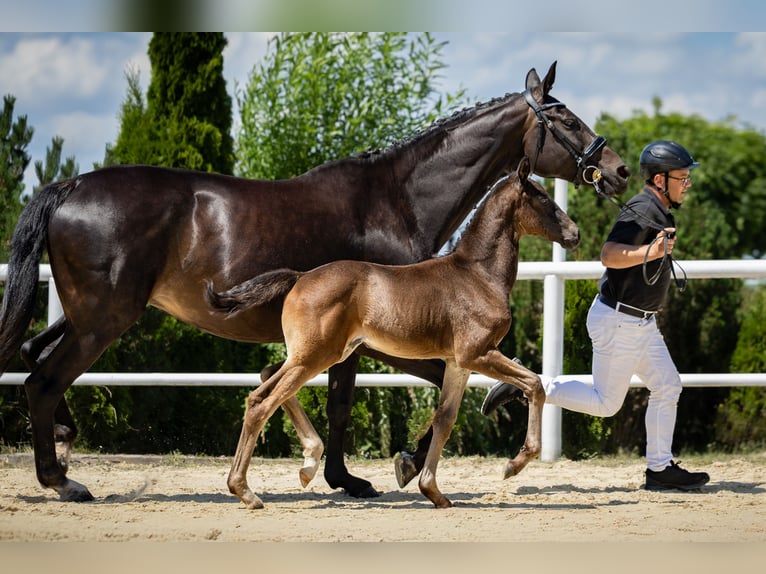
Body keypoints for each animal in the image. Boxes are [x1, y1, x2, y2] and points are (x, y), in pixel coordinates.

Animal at [206, 156, 579, 509]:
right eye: (542, 197)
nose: (574, 233)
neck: (478, 275)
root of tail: (300, 277)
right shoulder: (479, 353)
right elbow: (533, 383)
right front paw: (514, 464)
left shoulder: (458, 363)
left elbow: (444, 419)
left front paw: (434, 493)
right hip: (316, 355)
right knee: (262, 401)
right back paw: (247, 491)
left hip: (318, 354)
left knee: (265, 383)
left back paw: (305, 465)